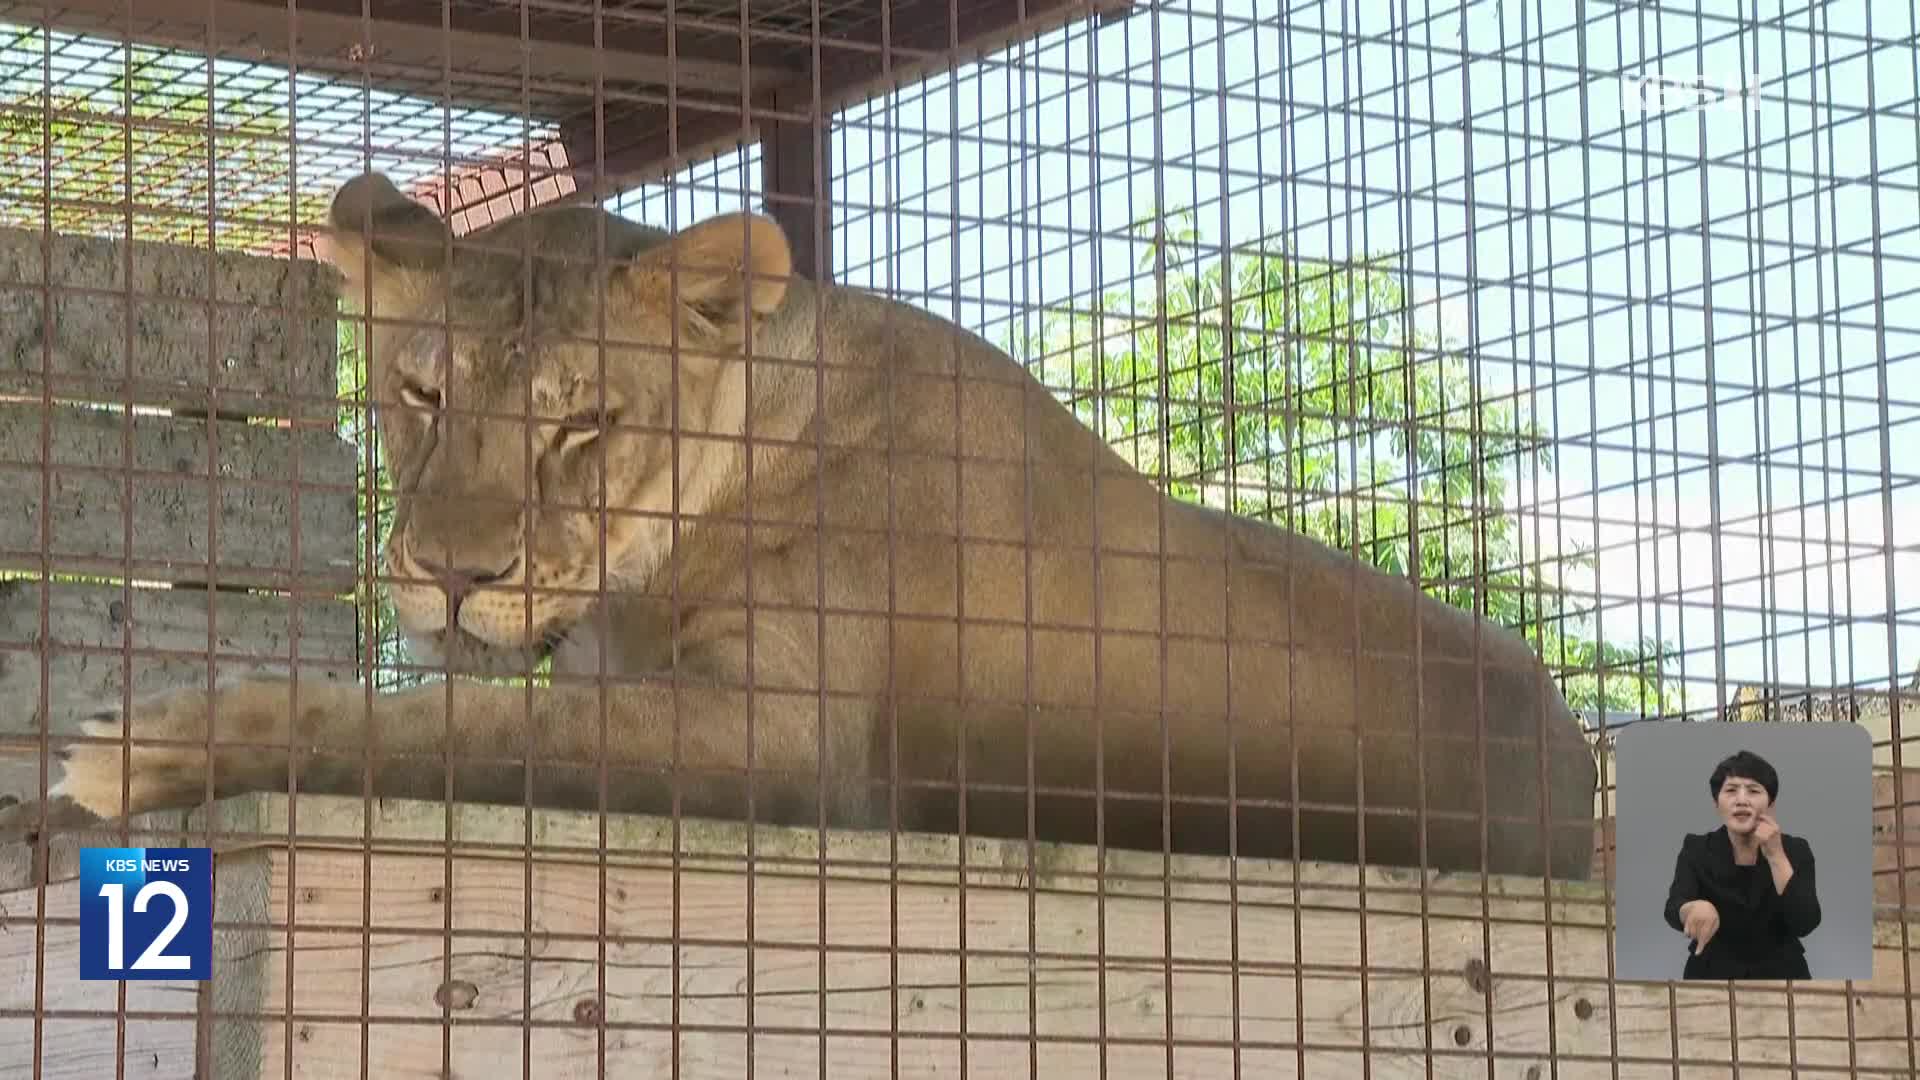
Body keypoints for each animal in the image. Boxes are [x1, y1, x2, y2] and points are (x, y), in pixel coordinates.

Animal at [0, 168, 1589, 876]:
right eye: (419, 390)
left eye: (583, 422)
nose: (453, 575)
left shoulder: (781, 741)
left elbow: (454, 732)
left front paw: (154, 750)